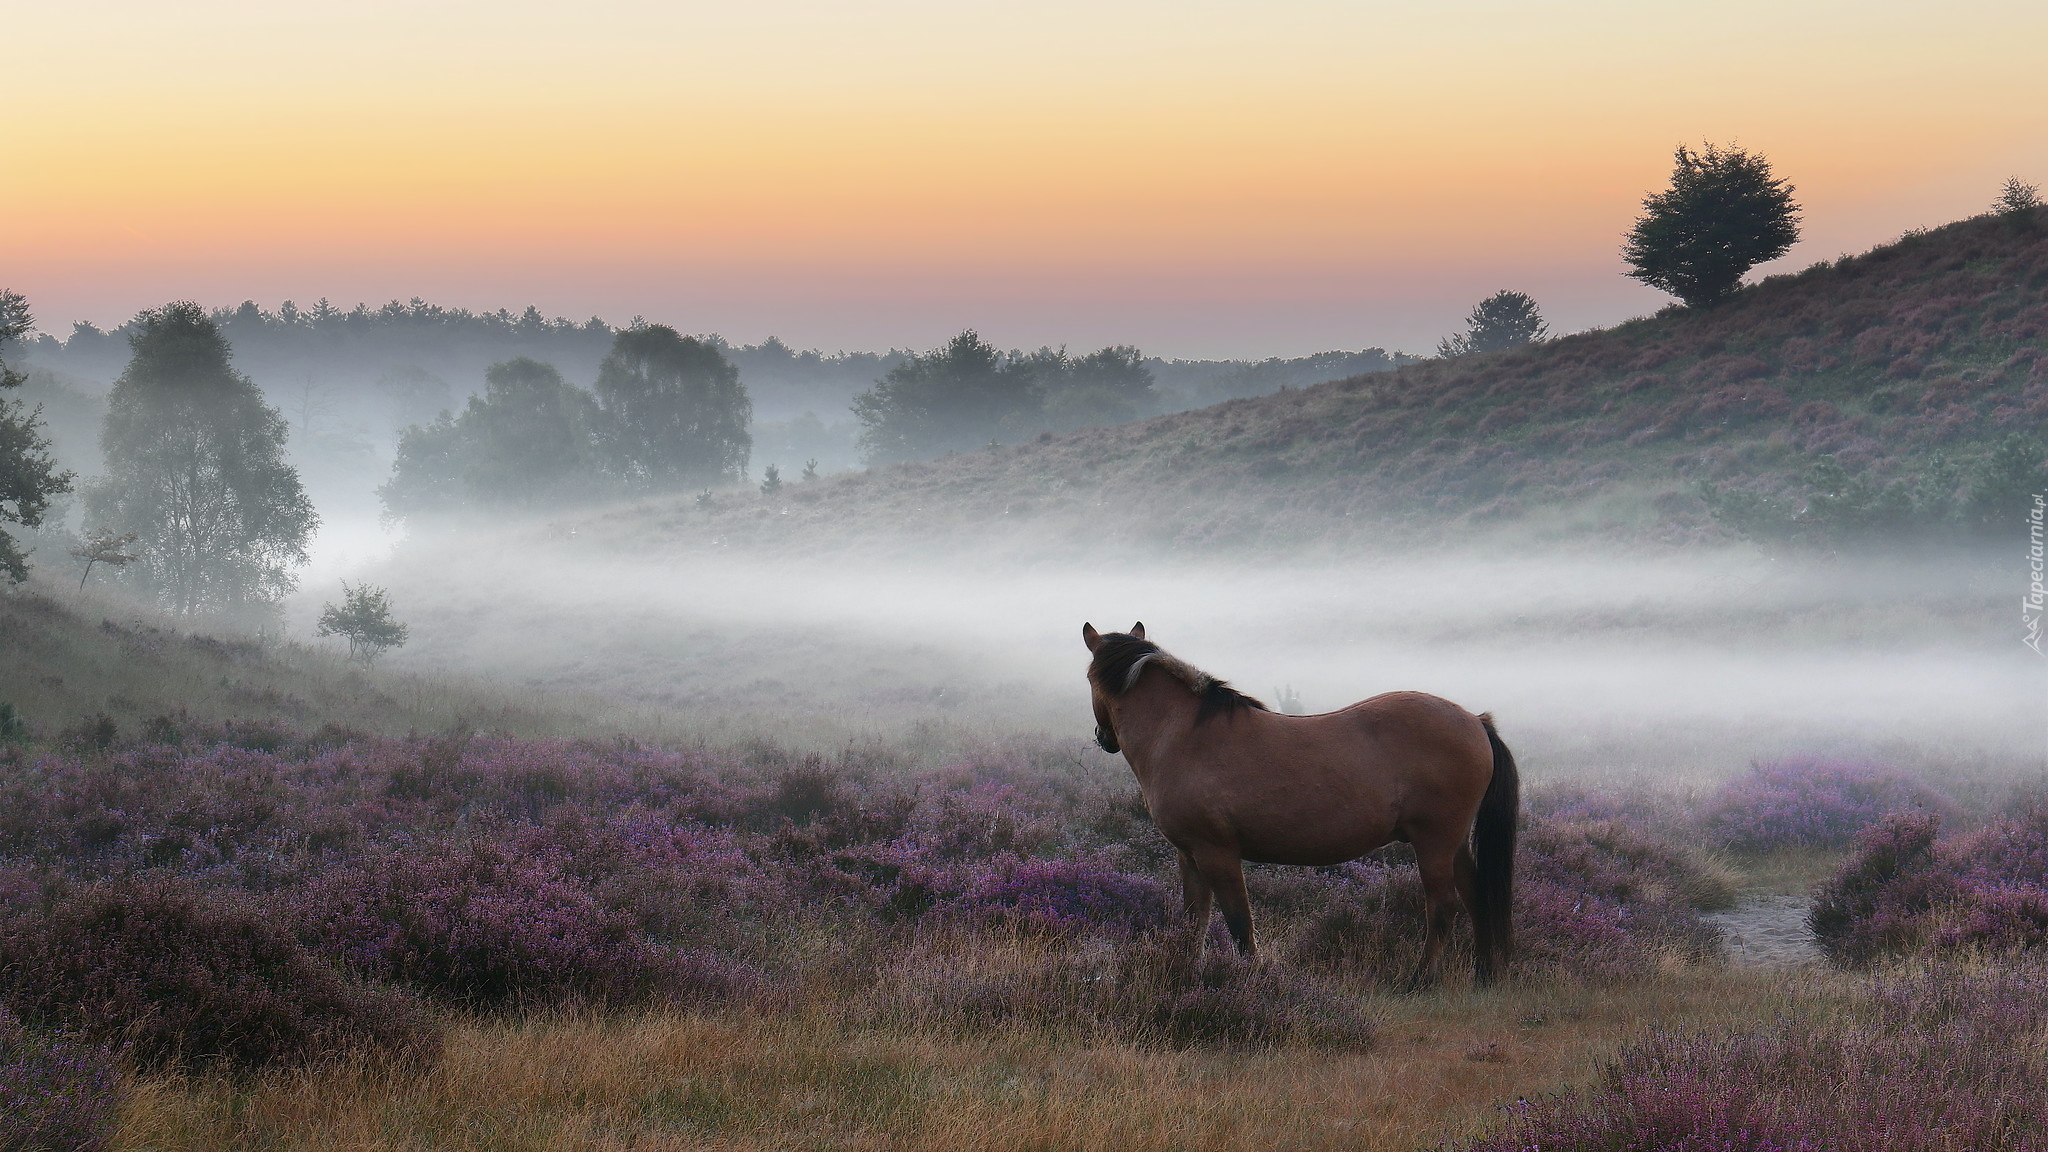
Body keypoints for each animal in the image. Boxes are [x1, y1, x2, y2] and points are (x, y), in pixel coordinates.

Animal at [1089, 623, 1523, 983]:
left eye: (1090, 677)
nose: (1104, 739)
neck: (1183, 736)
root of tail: (1475, 721)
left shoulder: (1217, 853)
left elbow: (1238, 923)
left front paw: (1252, 980)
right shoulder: (1189, 854)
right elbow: (1194, 919)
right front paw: (1185, 972)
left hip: (1434, 842)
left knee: (1443, 906)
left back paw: (1422, 979)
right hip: (1454, 844)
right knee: (1477, 897)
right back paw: (1483, 974)